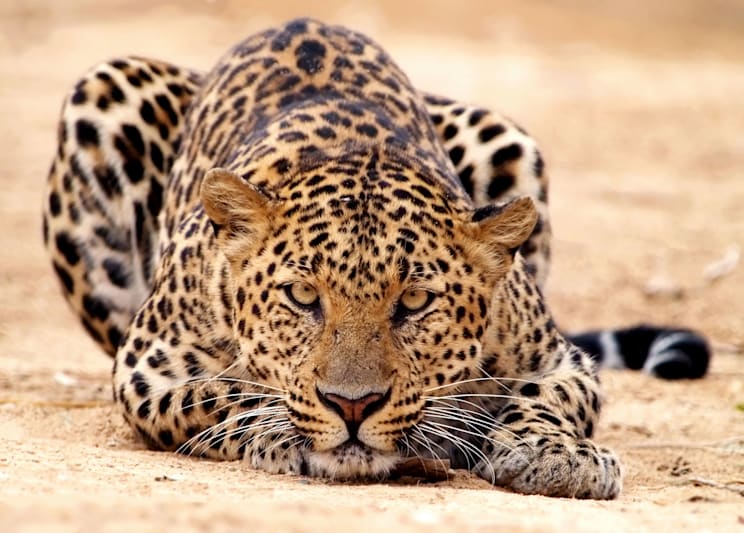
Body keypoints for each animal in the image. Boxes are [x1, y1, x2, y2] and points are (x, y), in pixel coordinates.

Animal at [42, 18, 711, 499]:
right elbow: (223, 394)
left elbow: (548, 402)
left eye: (414, 302)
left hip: (505, 135)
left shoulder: (559, 360)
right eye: (302, 296)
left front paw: (558, 455)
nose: (353, 405)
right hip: (105, 92)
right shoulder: (147, 368)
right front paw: (284, 431)